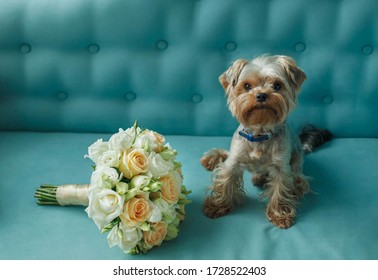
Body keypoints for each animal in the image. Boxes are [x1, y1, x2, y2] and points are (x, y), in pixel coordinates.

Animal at [201, 55, 330, 230]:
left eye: (277, 86)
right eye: (247, 86)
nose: (261, 95)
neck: (259, 132)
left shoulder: (281, 168)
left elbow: (279, 190)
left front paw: (280, 215)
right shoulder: (234, 160)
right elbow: (225, 181)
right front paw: (217, 205)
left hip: (296, 159)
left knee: (298, 177)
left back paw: (293, 186)